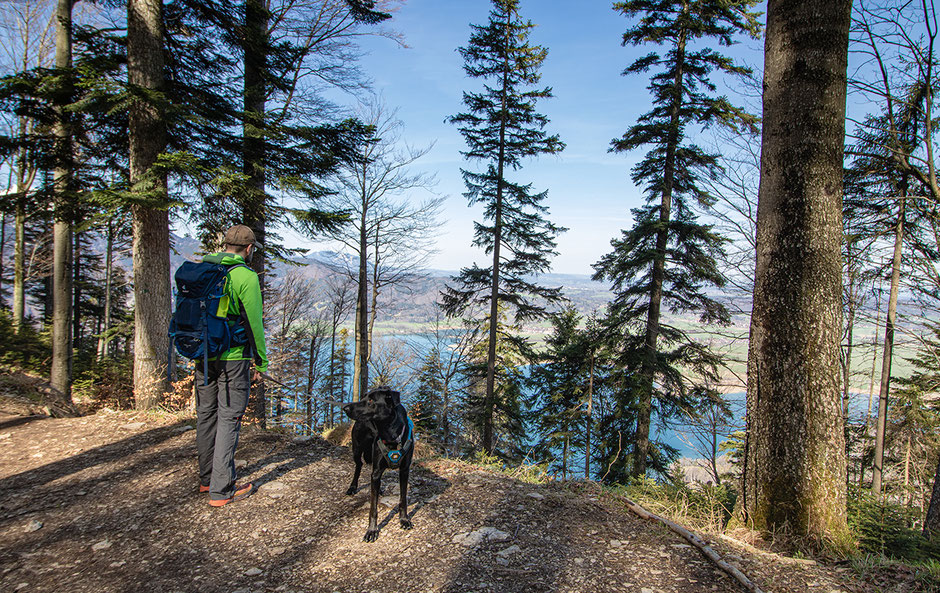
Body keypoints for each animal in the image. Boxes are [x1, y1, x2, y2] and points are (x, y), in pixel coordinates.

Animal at [344, 384, 414, 540]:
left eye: (371, 400)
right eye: (363, 397)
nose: (345, 408)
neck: (390, 434)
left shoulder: (404, 470)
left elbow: (403, 499)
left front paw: (404, 520)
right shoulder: (376, 471)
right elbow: (373, 507)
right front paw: (372, 530)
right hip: (357, 449)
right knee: (359, 466)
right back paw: (352, 487)